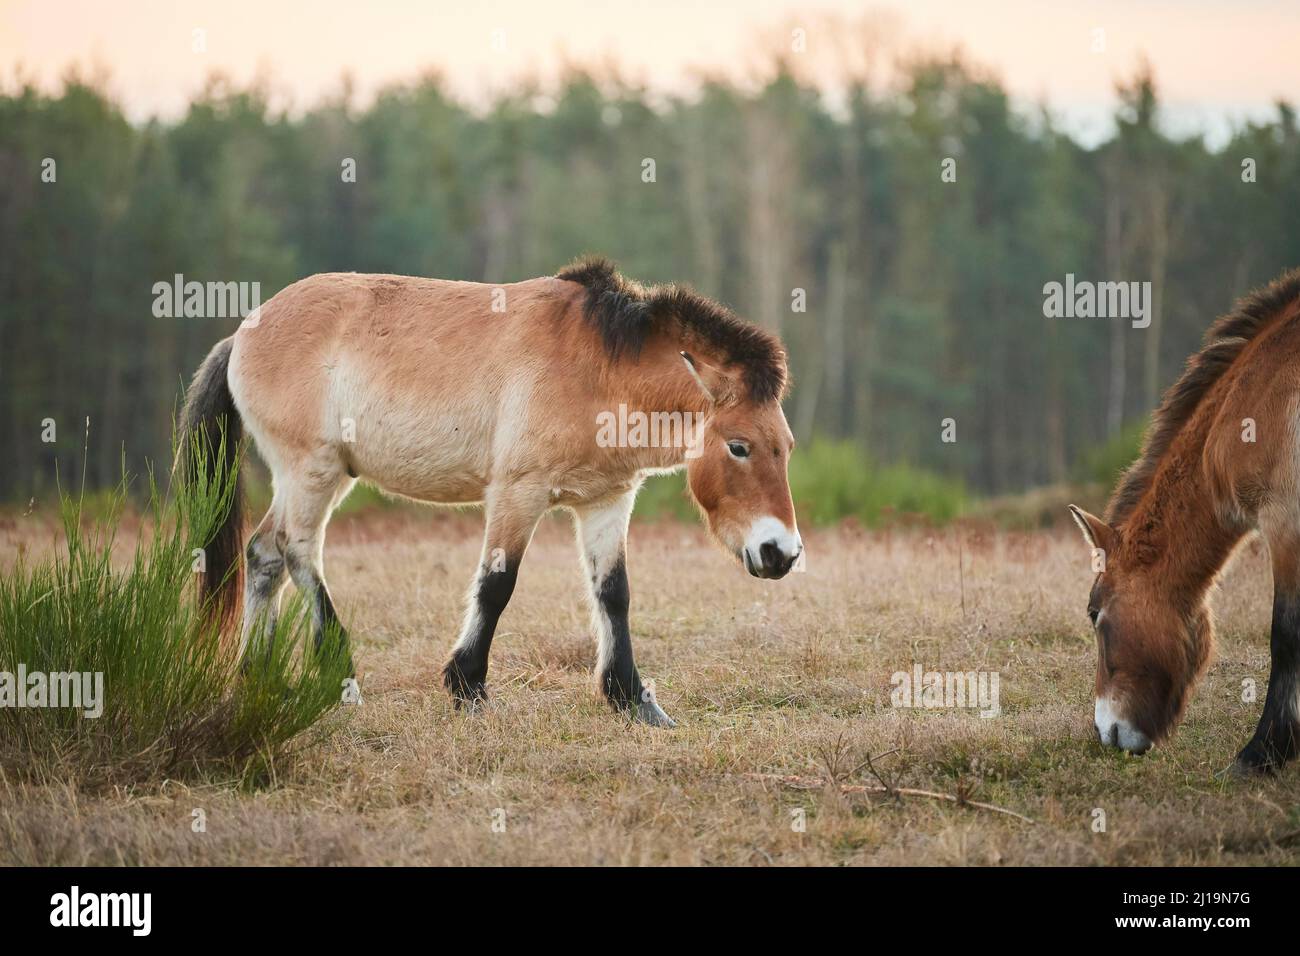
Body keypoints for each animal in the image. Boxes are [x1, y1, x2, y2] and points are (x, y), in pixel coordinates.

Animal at [180, 257, 803, 726]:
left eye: (787, 446)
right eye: (739, 447)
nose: (782, 553)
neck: (597, 365)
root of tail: (241, 335)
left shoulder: (606, 500)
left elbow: (614, 593)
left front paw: (633, 700)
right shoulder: (516, 495)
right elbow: (497, 585)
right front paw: (468, 687)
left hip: (316, 477)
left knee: (264, 554)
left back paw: (258, 677)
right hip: (312, 469)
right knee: (296, 550)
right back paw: (340, 674)